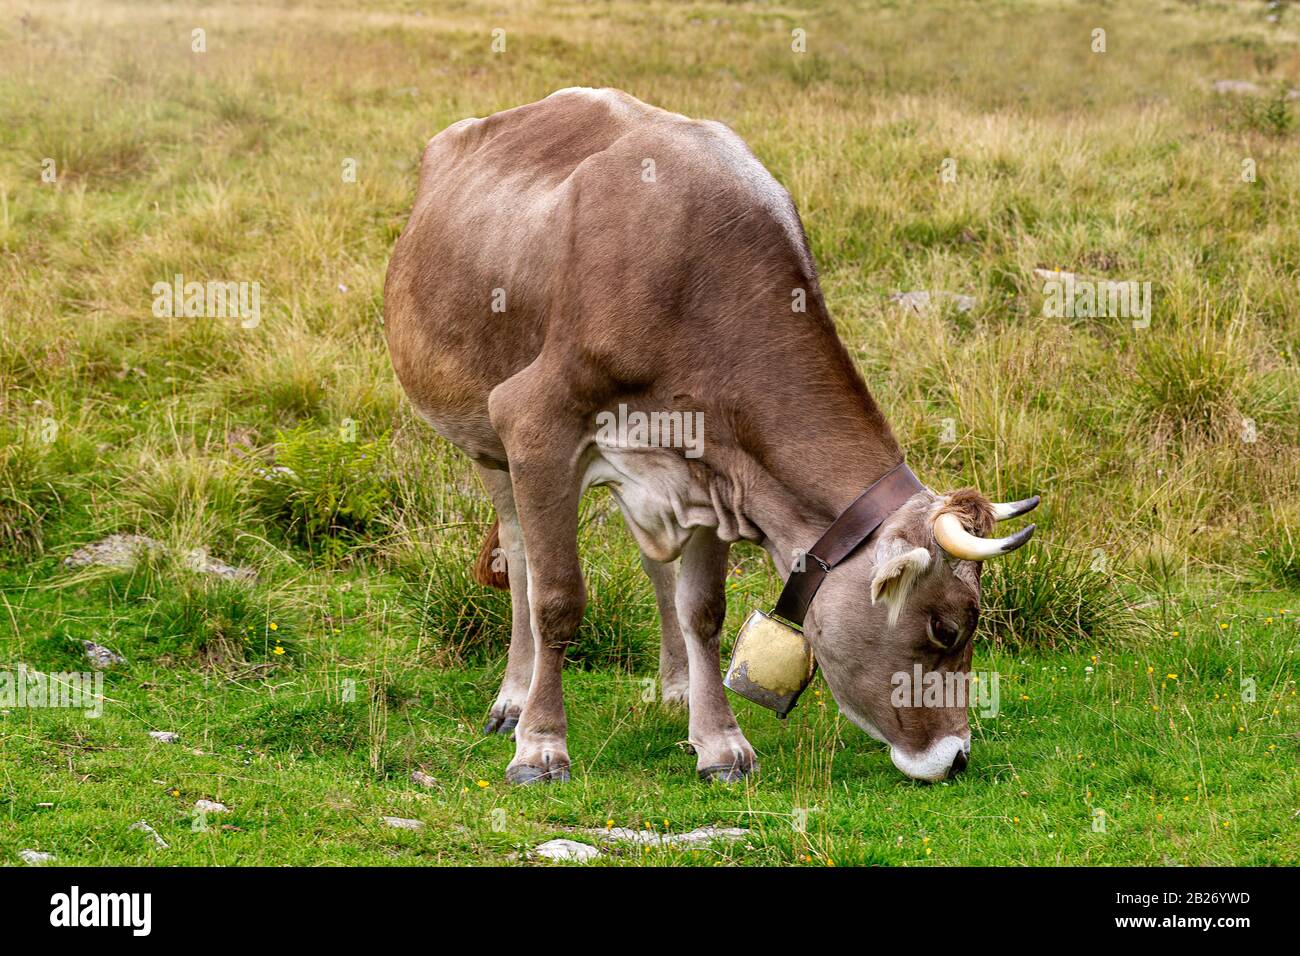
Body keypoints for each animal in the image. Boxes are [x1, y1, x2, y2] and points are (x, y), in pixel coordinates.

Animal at [379, 85, 1040, 780]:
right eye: (947, 630)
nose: (956, 756)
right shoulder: (533, 421)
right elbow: (556, 597)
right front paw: (539, 745)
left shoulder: (711, 470)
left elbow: (703, 610)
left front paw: (719, 741)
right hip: (487, 441)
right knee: (519, 557)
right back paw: (512, 699)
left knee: (653, 565)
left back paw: (675, 687)